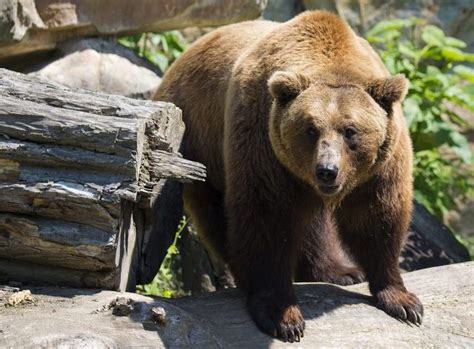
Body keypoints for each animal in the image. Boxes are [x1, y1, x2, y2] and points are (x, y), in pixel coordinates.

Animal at [155, 10, 422, 340]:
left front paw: (402, 301)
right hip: (200, 143)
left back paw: (340, 271)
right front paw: (282, 315)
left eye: (350, 130)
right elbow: (267, 219)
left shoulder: (381, 166)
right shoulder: (263, 141)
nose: (327, 171)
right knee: (218, 215)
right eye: (310, 129)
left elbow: (377, 217)